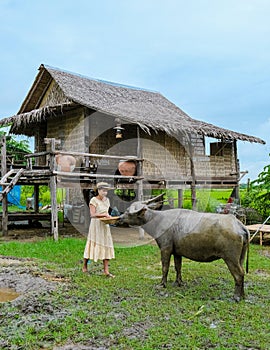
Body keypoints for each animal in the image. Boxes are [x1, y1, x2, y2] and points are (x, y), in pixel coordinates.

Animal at [119, 196, 250, 302]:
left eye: (127, 212)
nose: (119, 218)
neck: (158, 220)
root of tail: (240, 225)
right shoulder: (177, 252)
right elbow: (178, 267)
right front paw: (178, 282)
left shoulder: (165, 249)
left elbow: (165, 267)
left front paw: (162, 284)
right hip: (240, 258)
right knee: (243, 272)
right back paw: (242, 295)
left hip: (230, 258)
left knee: (238, 274)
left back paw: (236, 297)